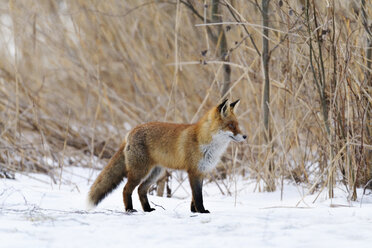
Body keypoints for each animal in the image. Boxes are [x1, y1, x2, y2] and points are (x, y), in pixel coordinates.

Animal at [85, 99, 246, 213]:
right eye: (231, 125)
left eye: (238, 125)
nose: (245, 136)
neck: (205, 142)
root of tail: (131, 131)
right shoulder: (193, 171)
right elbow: (198, 196)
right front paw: (201, 211)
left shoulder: (201, 171)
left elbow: (194, 197)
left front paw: (194, 211)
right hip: (140, 172)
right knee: (126, 189)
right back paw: (129, 209)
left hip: (155, 173)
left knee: (141, 190)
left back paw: (148, 209)